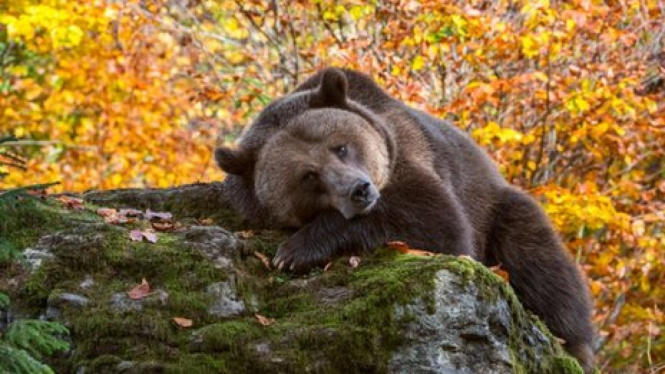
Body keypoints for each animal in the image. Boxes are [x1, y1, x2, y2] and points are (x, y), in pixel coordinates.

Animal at [215, 68, 592, 372]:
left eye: (340, 146)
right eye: (308, 175)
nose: (360, 190)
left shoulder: (409, 155)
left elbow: (436, 221)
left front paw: (295, 251)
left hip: (497, 209)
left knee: (539, 261)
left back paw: (573, 344)